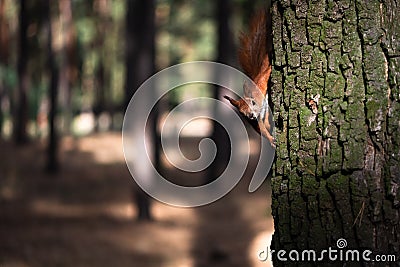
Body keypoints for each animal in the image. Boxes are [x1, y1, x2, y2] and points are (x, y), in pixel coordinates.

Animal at [223, 9, 276, 149]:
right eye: (241, 113)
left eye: (252, 102)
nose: (251, 115)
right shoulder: (255, 122)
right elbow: (261, 129)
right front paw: (271, 140)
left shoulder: (261, 86)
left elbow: (266, 76)